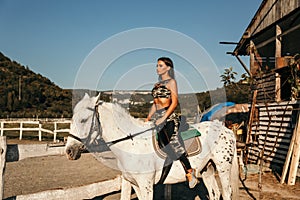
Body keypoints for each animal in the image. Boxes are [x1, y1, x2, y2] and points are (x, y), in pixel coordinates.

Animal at [65, 94, 239, 200]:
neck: (131, 144)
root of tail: (226, 129)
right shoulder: (135, 184)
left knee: (226, 192)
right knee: (215, 193)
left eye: (83, 120)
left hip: (223, 168)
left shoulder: (146, 185)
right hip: (207, 169)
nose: (69, 151)